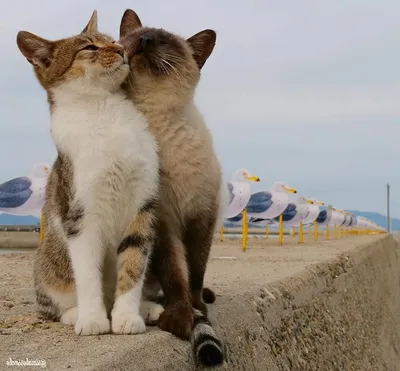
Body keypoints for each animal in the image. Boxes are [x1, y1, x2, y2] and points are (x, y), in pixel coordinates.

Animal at [15, 10, 159, 338]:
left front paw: (126, 315)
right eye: (89, 48)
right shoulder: (80, 215)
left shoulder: (142, 204)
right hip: (46, 264)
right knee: (51, 305)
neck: (103, 108)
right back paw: (74, 313)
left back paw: (146, 306)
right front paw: (93, 318)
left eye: (112, 40)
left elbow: (133, 262)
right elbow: (87, 272)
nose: (120, 49)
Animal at [119, 10, 227, 368]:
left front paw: (198, 310)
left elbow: (195, 273)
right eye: (136, 37)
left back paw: (205, 298)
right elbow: (176, 276)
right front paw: (181, 319)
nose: (144, 40)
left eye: (164, 42)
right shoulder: (163, 222)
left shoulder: (201, 216)